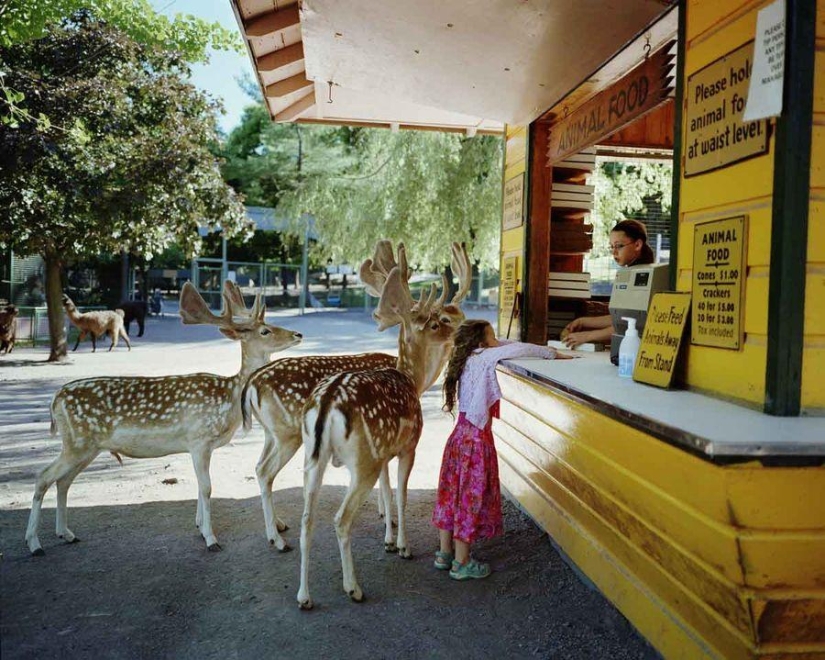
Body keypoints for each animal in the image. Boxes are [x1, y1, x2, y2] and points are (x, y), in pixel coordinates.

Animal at [25, 282, 302, 556]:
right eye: (265, 331)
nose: (298, 335)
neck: (230, 396)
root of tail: (55, 400)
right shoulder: (199, 439)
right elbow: (207, 487)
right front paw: (211, 539)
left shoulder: (202, 446)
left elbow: (201, 487)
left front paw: (200, 527)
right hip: (77, 442)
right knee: (43, 477)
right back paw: (34, 543)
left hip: (87, 447)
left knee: (63, 481)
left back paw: (66, 534)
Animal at [240, 242, 470, 552]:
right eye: (441, 320)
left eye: (458, 314)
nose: (464, 328)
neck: (415, 380)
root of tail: (252, 383)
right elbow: (391, 487)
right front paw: (392, 533)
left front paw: (387, 525)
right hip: (288, 433)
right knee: (266, 471)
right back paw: (277, 539)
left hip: (273, 433)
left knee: (260, 468)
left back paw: (278, 526)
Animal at [296, 241, 470, 608]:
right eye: (437, 323)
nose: (462, 330)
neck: (411, 380)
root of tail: (327, 402)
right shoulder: (409, 445)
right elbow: (401, 495)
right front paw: (402, 546)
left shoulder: (385, 452)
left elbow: (388, 491)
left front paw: (388, 539)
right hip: (362, 461)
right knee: (341, 519)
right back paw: (353, 587)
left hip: (315, 458)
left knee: (307, 518)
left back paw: (304, 596)